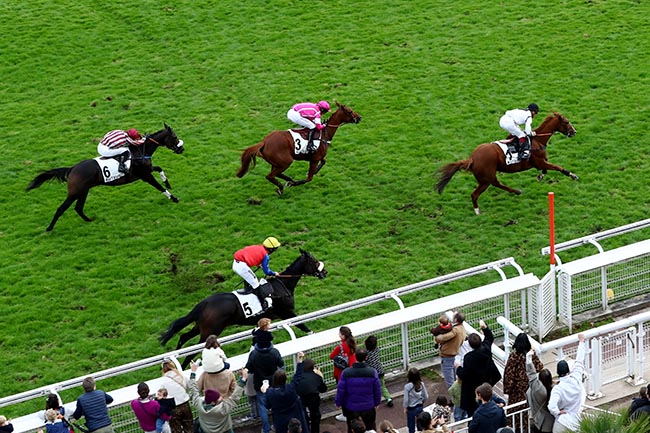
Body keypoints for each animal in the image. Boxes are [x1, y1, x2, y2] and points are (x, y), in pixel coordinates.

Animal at [25, 123, 182, 231]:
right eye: (174, 137)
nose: (182, 148)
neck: (139, 151)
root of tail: (72, 169)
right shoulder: (145, 175)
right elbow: (158, 187)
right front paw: (174, 198)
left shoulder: (147, 170)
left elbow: (159, 169)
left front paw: (167, 183)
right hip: (75, 192)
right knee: (61, 209)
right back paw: (49, 228)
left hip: (83, 191)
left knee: (78, 208)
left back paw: (89, 220)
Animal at [432, 110, 576, 213]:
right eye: (567, 122)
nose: (574, 132)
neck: (537, 141)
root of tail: (472, 158)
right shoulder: (539, 162)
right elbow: (557, 167)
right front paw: (572, 175)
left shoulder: (541, 162)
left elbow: (546, 169)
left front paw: (540, 176)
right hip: (486, 179)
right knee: (478, 193)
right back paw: (478, 211)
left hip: (486, 178)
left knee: (495, 185)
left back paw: (515, 192)